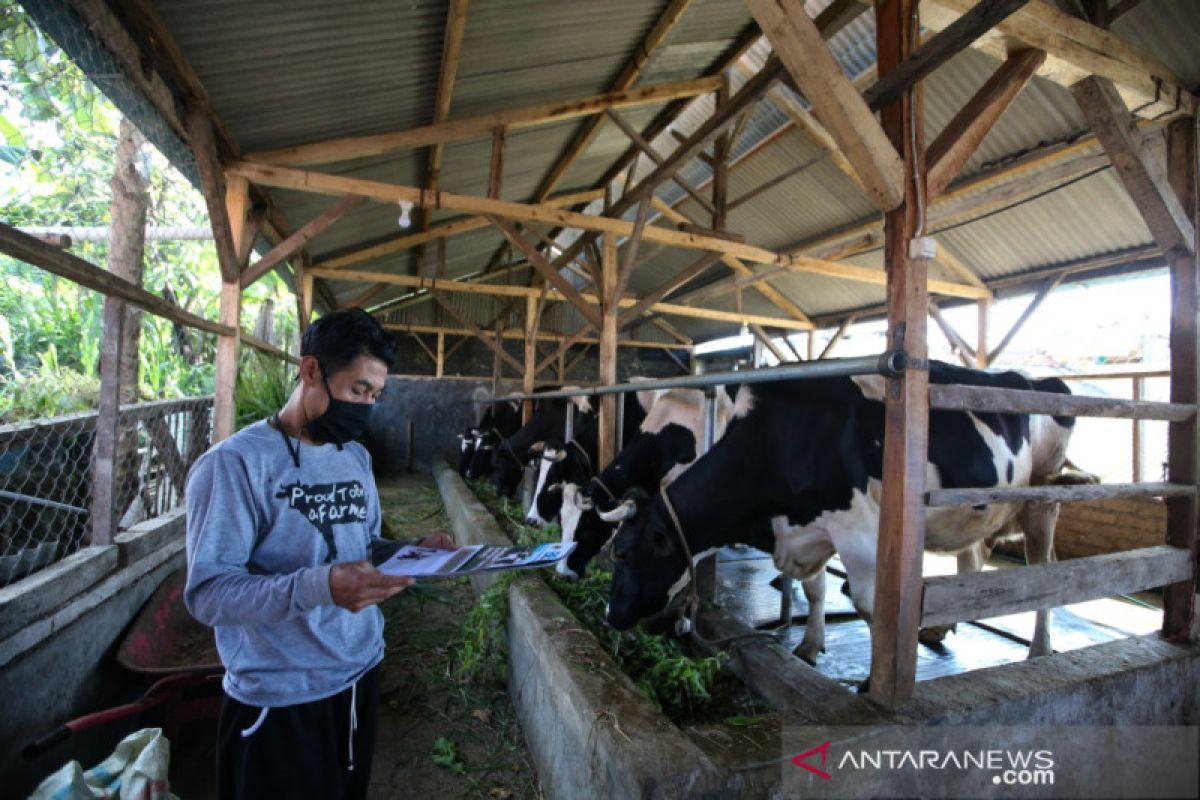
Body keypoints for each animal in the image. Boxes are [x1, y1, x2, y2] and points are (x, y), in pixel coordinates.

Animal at [609, 364, 1080, 662]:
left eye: (625, 555)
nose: (610, 616)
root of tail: (1043, 379)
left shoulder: (857, 528)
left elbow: (870, 607)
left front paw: (872, 683)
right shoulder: (807, 528)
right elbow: (815, 588)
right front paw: (810, 645)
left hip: (1043, 498)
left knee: (1045, 570)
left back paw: (1039, 649)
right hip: (978, 508)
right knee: (974, 557)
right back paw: (939, 627)